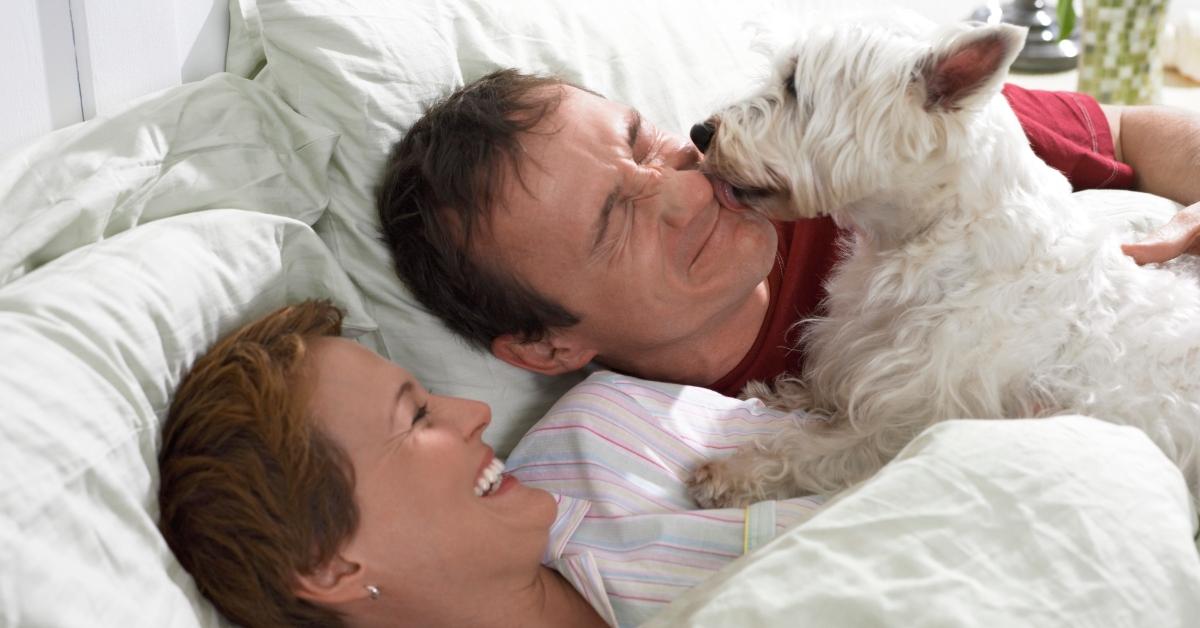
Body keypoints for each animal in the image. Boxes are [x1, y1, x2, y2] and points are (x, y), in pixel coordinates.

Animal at [686, 22, 1200, 509]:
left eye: (794, 84)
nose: (700, 133)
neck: (929, 234)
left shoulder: (912, 415)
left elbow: (820, 450)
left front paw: (733, 472)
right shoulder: (857, 347)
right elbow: (826, 386)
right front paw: (780, 393)